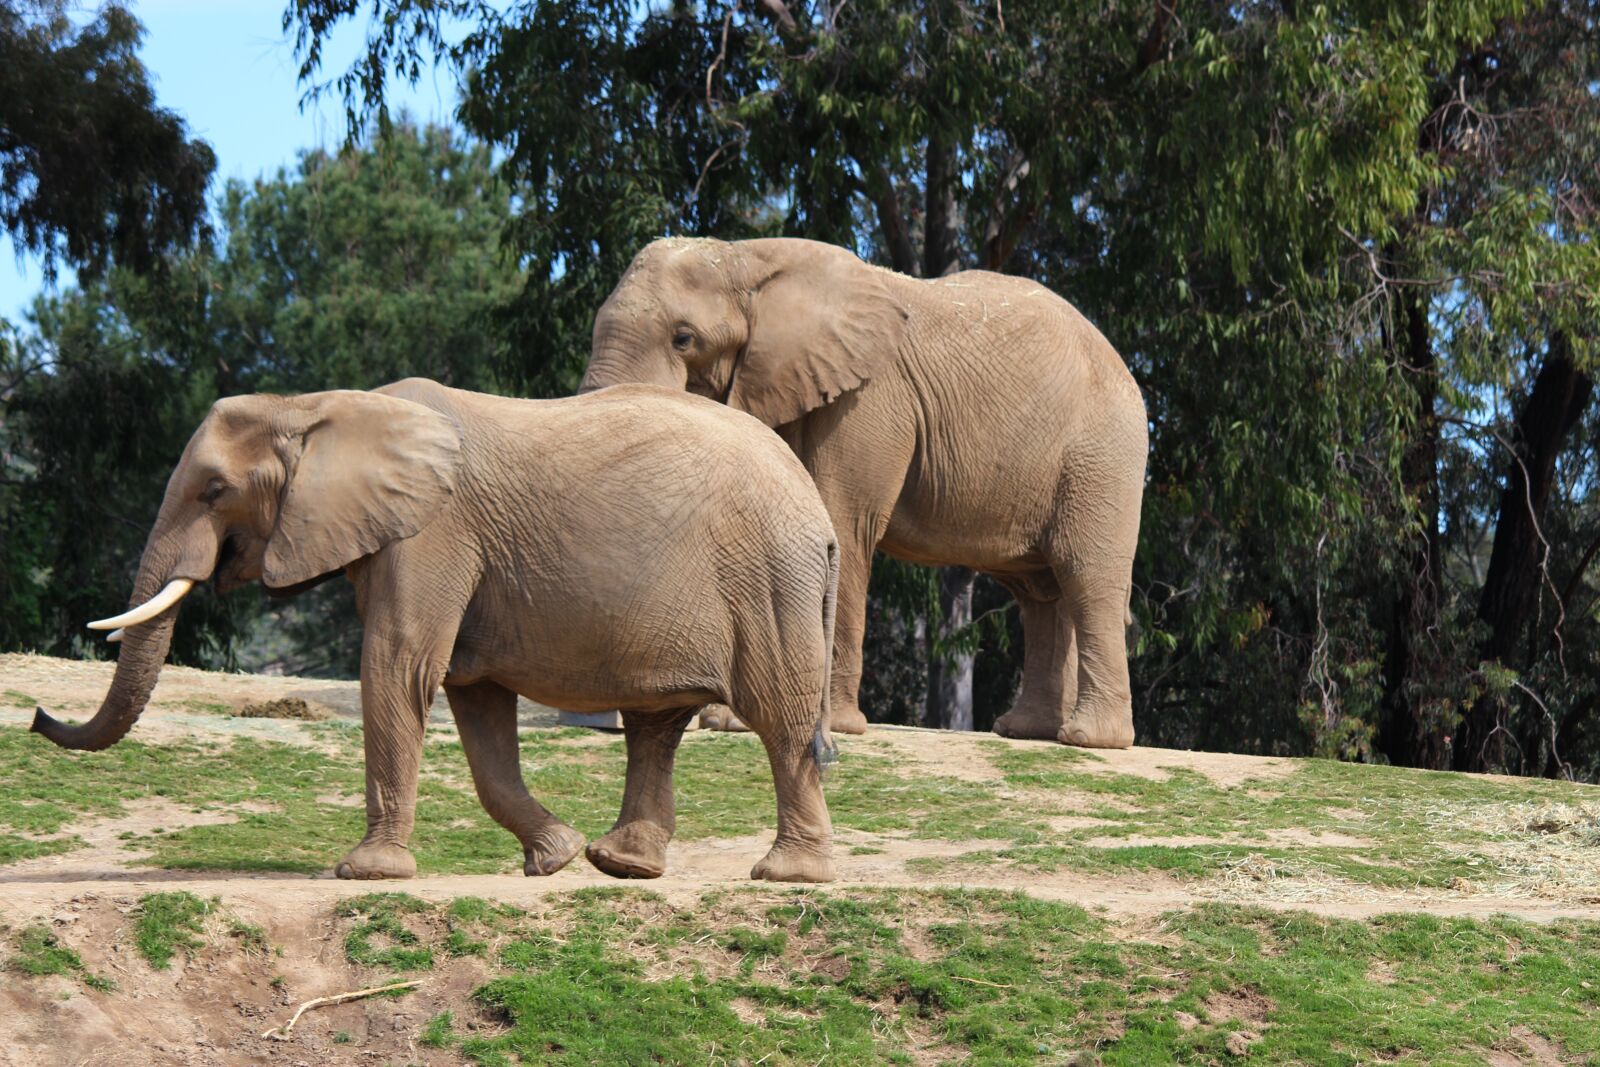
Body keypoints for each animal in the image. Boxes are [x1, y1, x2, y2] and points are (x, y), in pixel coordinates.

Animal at [31, 377, 844, 883]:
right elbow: (474, 700)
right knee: (656, 724)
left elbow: (399, 665)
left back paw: (787, 875)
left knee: (779, 716)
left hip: (767, 580)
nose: (38, 714)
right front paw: (552, 858)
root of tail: (817, 511)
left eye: (214, 490)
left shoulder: (432, 533)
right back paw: (620, 863)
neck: (316, 406)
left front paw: (363, 873)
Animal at [582, 233, 1145, 751]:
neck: (748, 257)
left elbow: (842, 522)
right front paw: (728, 723)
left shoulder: (868, 399)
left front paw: (826, 727)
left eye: (684, 338)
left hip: (1103, 457)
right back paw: (1028, 732)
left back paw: (1089, 740)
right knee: (1039, 592)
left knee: (1084, 573)